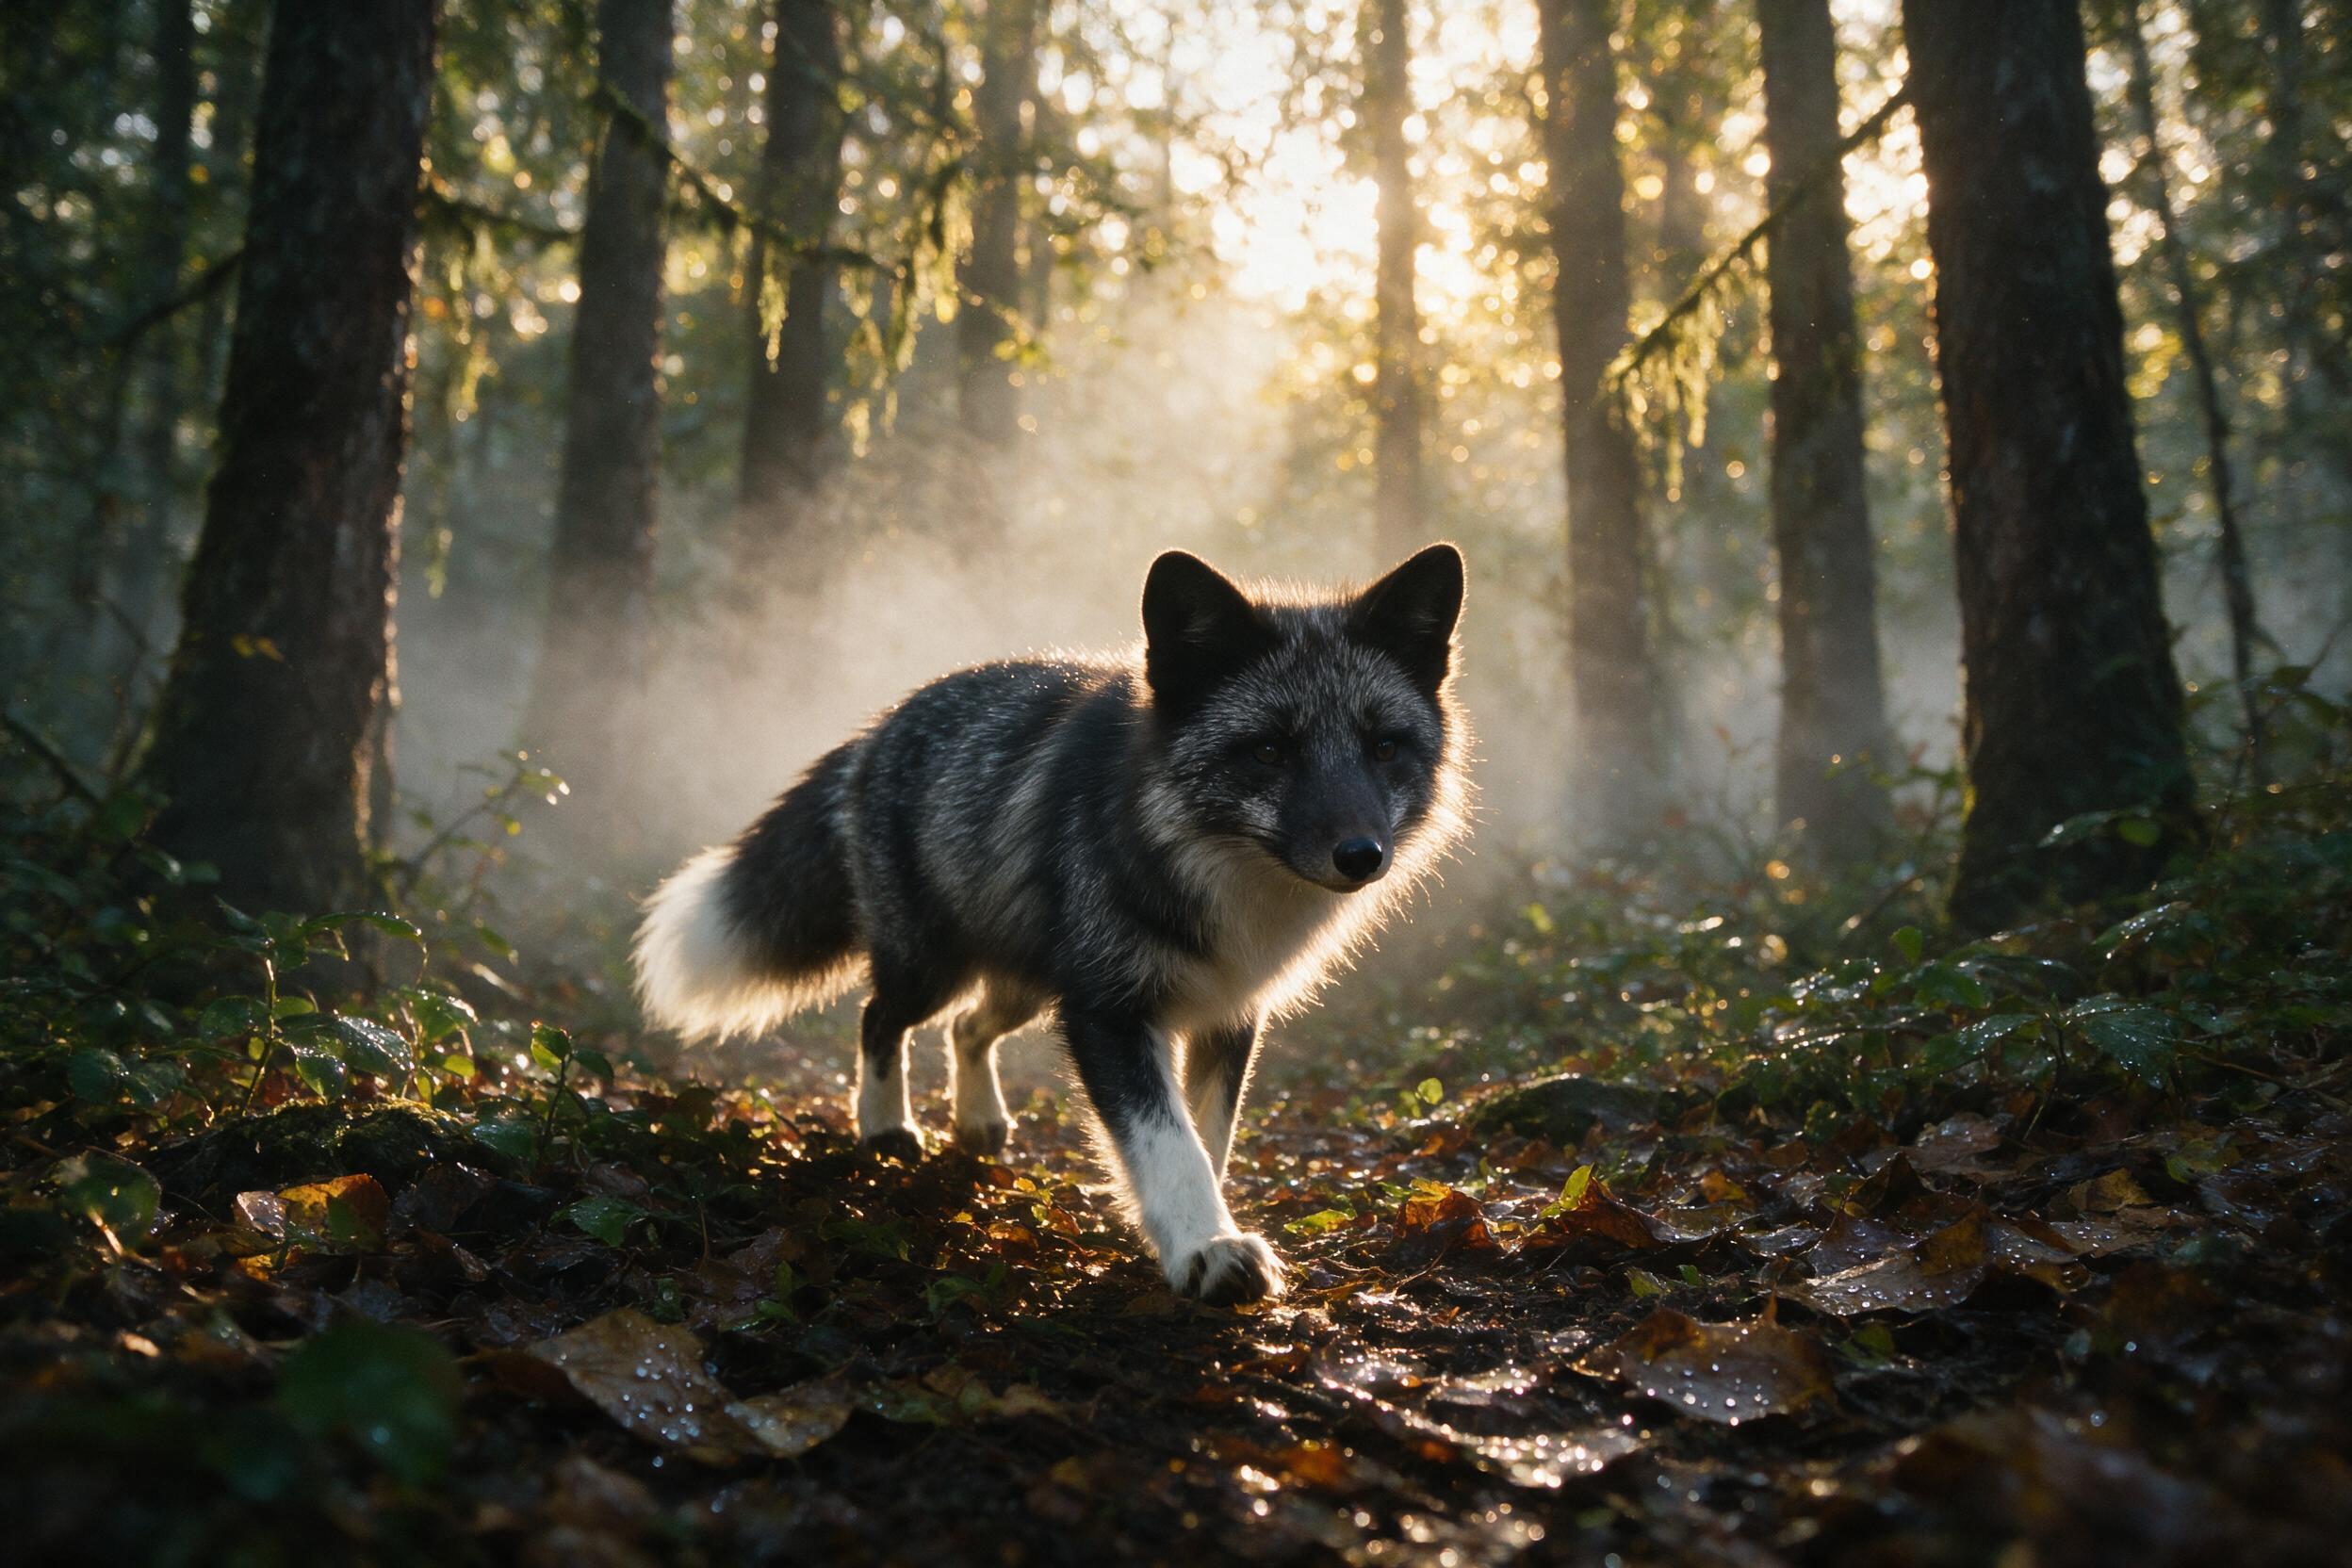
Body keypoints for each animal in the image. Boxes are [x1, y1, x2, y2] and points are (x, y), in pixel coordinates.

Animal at [633, 544, 1471, 1305]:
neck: (1209, 868)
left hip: (1029, 985)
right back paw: (884, 1129)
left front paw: (1185, 1231)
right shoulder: (1109, 1011)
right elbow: (1172, 1146)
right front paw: (1204, 1248)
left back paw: (978, 1120)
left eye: (1384, 747)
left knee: (966, 1028)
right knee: (880, 1017)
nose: (1361, 855)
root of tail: (879, 727)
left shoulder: (1229, 1014)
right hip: (934, 967)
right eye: (1268, 749)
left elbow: (1207, 1139)